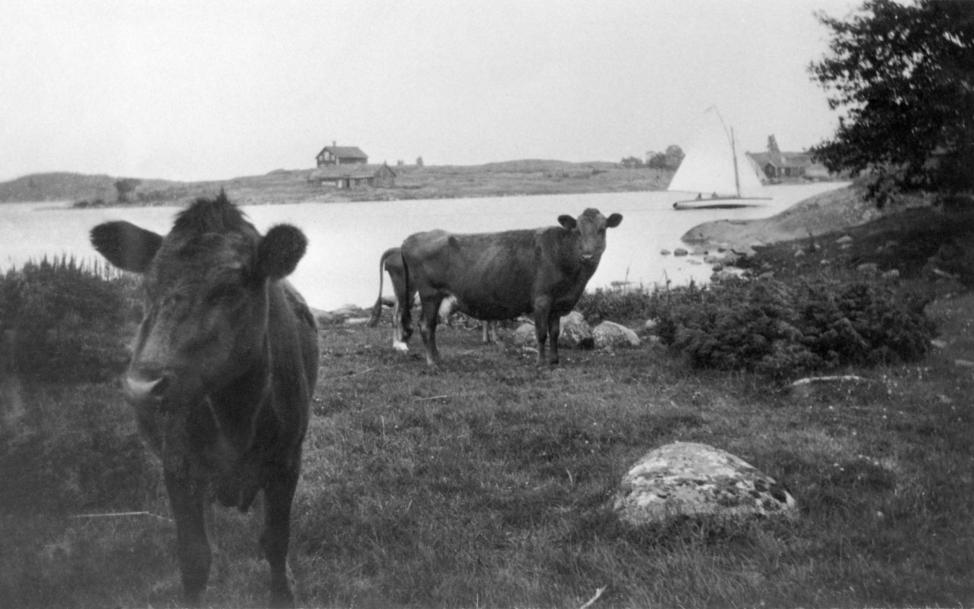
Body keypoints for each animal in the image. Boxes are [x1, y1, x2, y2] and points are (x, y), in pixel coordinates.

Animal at [89, 194, 318, 608]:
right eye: (148, 285)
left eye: (229, 289)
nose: (142, 386)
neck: (236, 418)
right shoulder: (178, 466)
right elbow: (194, 557)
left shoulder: (287, 460)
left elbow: (276, 540)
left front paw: (284, 590)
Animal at [398, 207, 620, 366]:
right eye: (577, 230)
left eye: (602, 229)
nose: (588, 255)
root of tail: (412, 238)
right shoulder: (542, 299)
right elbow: (541, 333)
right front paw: (541, 363)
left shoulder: (558, 304)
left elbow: (555, 333)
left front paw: (555, 360)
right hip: (430, 294)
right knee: (426, 326)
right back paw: (432, 362)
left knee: (431, 326)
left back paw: (438, 358)